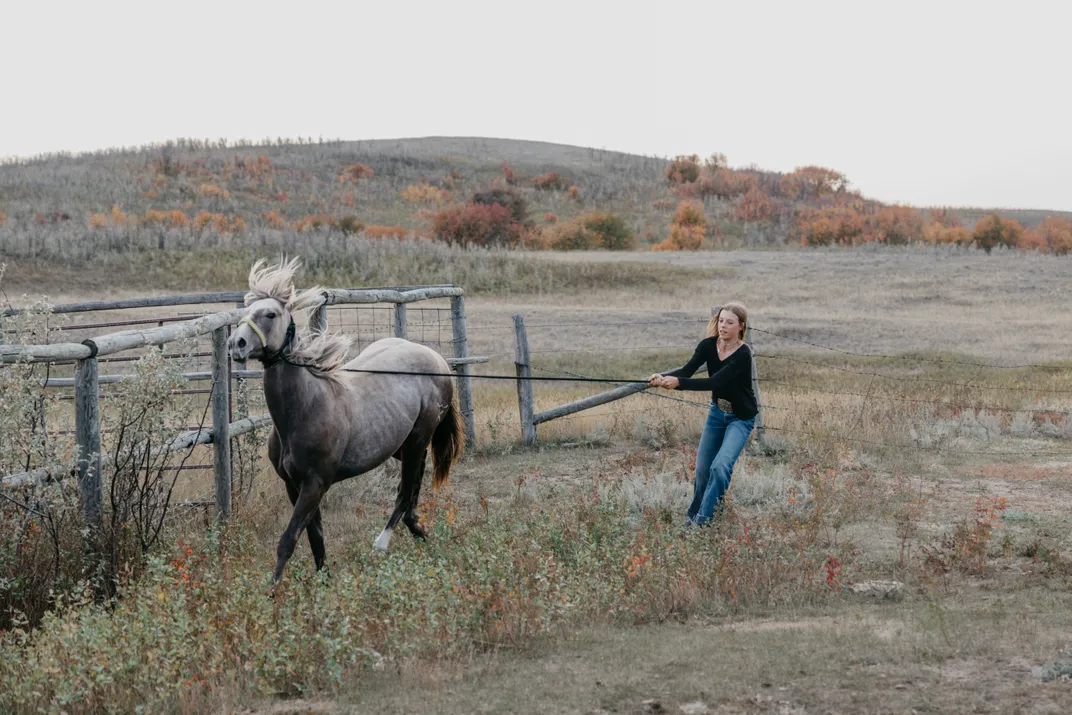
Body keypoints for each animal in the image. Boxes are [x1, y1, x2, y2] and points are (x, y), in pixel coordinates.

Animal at [228, 260, 463, 583]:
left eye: (270, 314)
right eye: (246, 309)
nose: (235, 344)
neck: (306, 408)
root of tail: (438, 360)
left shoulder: (315, 483)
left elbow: (288, 539)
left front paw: (273, 589)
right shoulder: (294, 485)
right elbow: (315, 538)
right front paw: (324, 581)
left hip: (418, 438)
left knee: (405, 491)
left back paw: (384, 542)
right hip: (401, 446)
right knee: (414, 485)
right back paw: (418, 530)